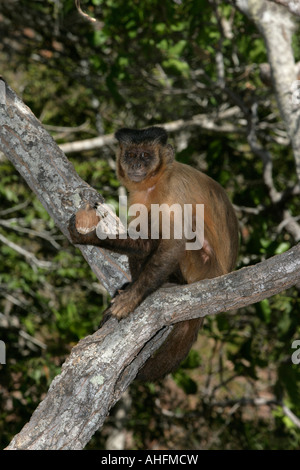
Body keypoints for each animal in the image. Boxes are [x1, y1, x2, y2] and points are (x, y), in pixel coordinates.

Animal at [68, 126, 239, 382]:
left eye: (145, 156)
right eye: (131, 155)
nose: (136, 165)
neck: (157, 181)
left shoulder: (174, 190)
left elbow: (175, 244)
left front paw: (132, 298)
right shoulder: (140, 196)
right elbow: (145, 244)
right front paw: (89, 237)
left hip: (203, 268)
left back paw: (169, 284)